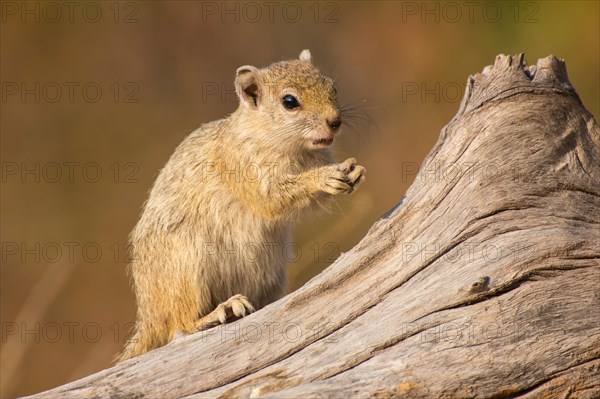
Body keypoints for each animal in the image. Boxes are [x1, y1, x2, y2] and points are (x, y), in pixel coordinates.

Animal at [115, 49, 364, 362]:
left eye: (333, 87)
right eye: (289, 102)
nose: (335, 121)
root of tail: (148, 316)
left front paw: (353, 171)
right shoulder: (243, 167)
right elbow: (271, 199)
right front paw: (322, 178)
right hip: (187, 266)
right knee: (180, 325)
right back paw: (221, 310)